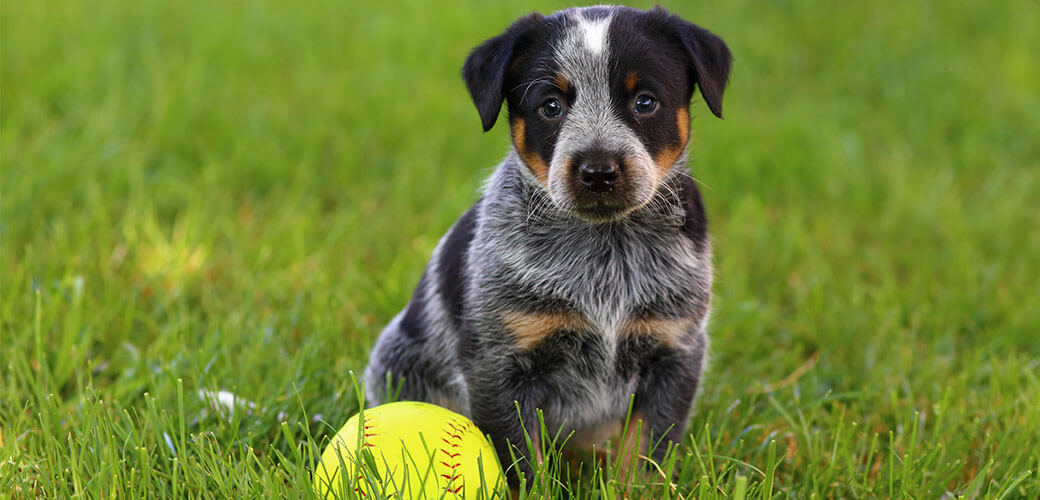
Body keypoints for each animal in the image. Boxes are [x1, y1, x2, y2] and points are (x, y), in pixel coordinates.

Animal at [366, 3, 732, 486]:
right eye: (551, 106)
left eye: (645, 101)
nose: (598, 171)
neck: (606, 249)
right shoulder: (499, 362)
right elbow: (521, 462)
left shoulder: (674, 351)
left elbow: (644, 454)